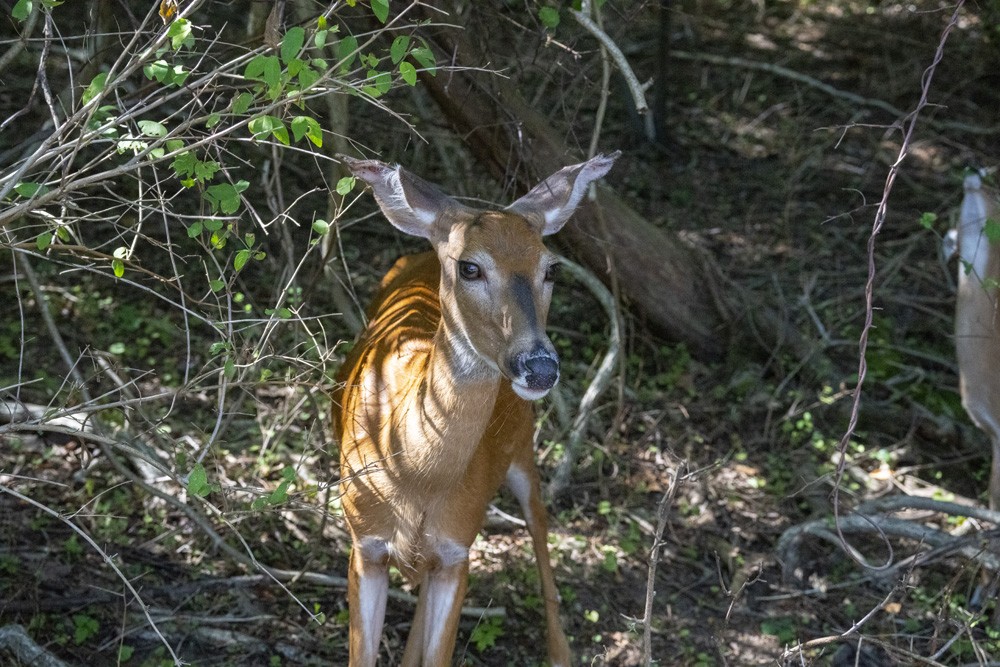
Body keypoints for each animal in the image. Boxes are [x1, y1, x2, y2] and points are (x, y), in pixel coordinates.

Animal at [332, 153, 620, 667]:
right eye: (470, 267)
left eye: (551, 269)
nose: (539, 367)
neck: (416, 476)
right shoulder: (364, 543)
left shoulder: (457, 549)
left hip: (522, 450)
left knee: (541, 534)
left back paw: (560, 651)